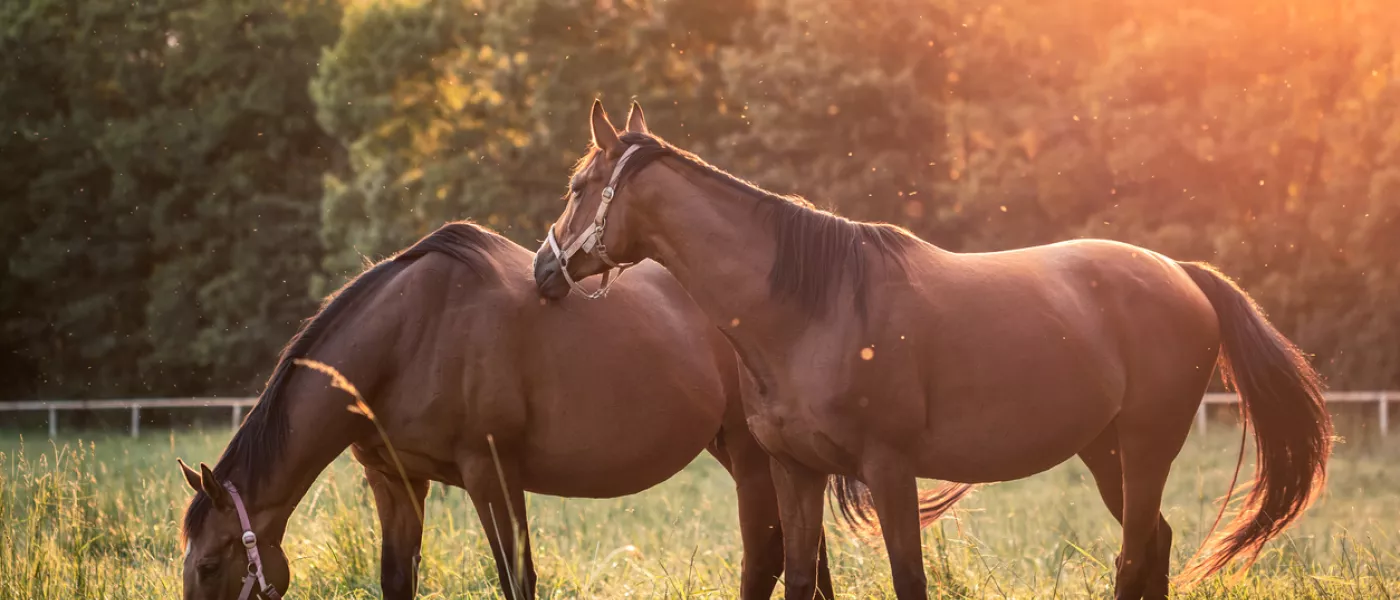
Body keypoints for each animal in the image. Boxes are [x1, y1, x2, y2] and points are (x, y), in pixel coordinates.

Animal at [177, 221, 834, 600]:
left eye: (208, 566)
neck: (410, 334)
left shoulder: (490, 474)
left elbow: (517, 578)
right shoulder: (396, 482)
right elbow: (397, 581)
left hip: (751, 457)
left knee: (768, 558)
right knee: (809, 554)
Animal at [532, 101, 1333, 600]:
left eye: (578, 185)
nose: (543, 271)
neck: (811, 309)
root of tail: (1182, 274)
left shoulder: (890, 471)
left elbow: (907, 580)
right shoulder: (795, 471)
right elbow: (800, 579)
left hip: (1143, 448)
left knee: (1136, 553)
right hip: (1107, 453)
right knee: (1154, 545)